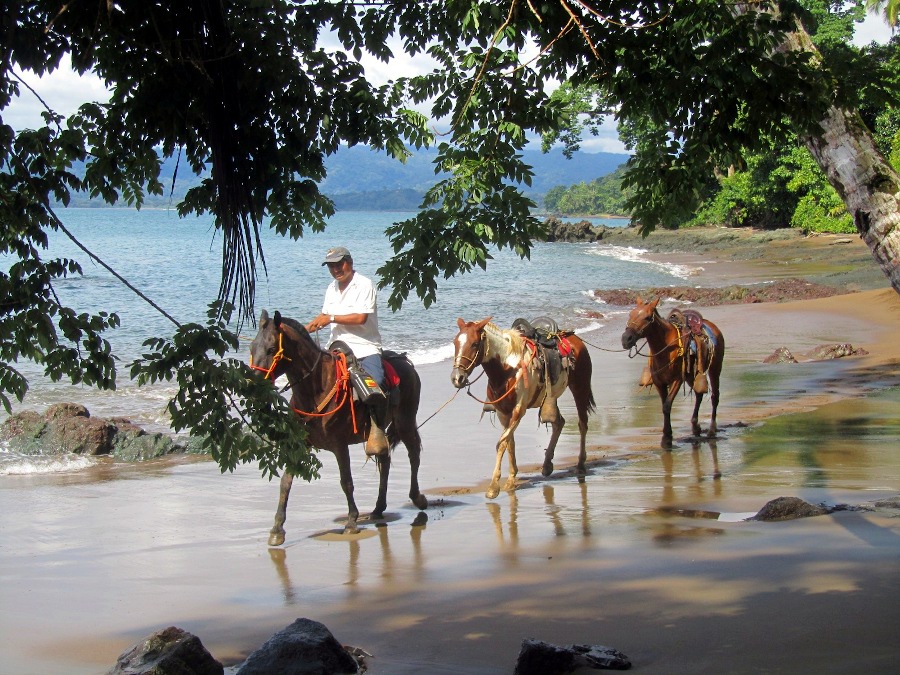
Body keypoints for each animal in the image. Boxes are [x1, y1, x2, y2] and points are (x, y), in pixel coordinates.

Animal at [248, 308, 428, 548]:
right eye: (251, 347)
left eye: (270, 349)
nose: (253, 386)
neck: (316, 389)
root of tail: (406, 362)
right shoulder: (299, 444)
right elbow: (286, 483)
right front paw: (277, 529)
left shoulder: (339, 445)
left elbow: (346, 482)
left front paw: (351, 521)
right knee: (385, 461)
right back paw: (378, 508)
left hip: (405, 421)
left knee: (414, 454)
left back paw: (417, 498)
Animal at [454, 314, 596, 500]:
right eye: (455, 343)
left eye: (474, 344)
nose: (457, 378)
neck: (506, 369)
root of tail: (575, 339)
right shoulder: (503, 413)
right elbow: (509, 443)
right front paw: (510, 479)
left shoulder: (518, 410)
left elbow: (502, 443)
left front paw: (493, 487)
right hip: (550, 398)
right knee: (559, 423)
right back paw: (547, 464)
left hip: (580, 387)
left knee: (582, 424)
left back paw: (580, 464)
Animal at [624, 298, 728, 448]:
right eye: (630, 315)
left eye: (647, 317)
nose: (626, 339)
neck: (666, 348)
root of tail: (712, 326)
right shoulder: (659, 382)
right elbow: (663, 406)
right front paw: (666, 437)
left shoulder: (677, 380)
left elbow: (667, 406)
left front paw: (667, 439)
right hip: (691, 375)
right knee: (698, 394)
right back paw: (695, 426)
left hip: (715, 369)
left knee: (715, 397)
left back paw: (712, 430)